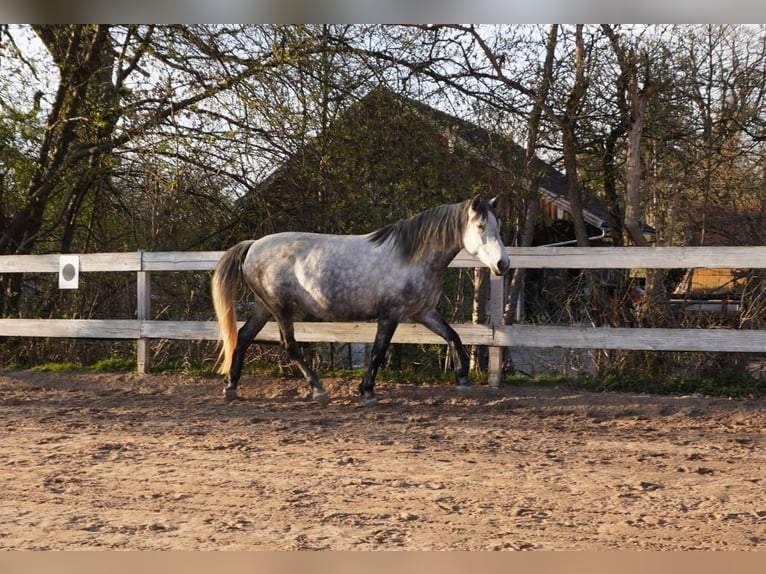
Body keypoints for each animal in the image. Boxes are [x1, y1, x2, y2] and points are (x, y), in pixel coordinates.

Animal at [211, 195, 510, 406]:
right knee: (290, 346)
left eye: (499, 227)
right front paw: (367, 392)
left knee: (244, 336)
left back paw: (231, 388)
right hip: (280, 307)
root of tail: (253, 245)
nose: (502, 264)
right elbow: (378, 351)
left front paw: (463, 380)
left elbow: (453, 336)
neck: (412, 256)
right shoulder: (390, 314)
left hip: (264, 307)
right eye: (481, 226)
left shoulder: (424, 312)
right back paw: (319, 390)